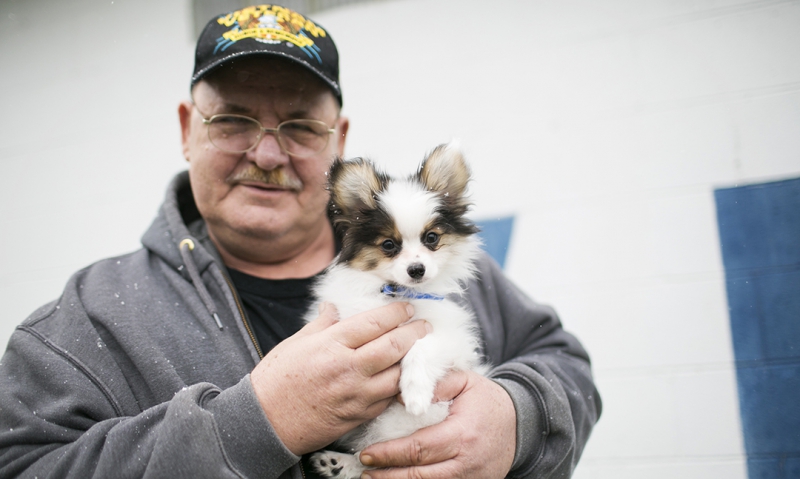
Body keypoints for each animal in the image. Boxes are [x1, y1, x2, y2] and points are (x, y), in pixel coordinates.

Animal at [308, 141, 488, 478]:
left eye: (431, 238)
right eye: (388, 245)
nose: (416, 269)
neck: (400, 293)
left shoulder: (453, 339)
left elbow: (422, 346)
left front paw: (415, 393)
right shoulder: (350, 316)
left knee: (371, 456)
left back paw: (340, 464)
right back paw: (337, 463)